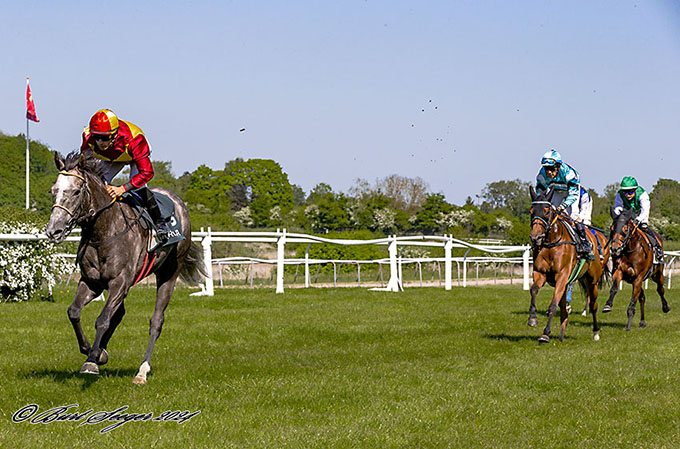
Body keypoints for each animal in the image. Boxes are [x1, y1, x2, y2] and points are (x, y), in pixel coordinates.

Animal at [45, 152, 206, 384]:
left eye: (76, 191)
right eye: (53, 191)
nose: (53, 230)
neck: (103, 231)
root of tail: (178, 201)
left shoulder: (119, 282)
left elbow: (102, 320)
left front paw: (91, 361)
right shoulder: (91, 282)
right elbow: (74, 312)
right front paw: (91, 351)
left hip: (168, 273)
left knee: (156, 321)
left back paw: (142, 371)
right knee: (118, 313)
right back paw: (101, 351)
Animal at [524, 187, 612, 342]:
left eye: (546, 210)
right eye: (531, 211)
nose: (536, 237)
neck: (551, 243)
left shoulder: (562, 275)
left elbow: (553, 305)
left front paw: (545, 333)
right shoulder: (540, 273)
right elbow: (534, 290)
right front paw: (533, 319)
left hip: (592, 280)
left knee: (593, 305)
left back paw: (595, 332)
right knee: (564, 309)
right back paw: (561, 334)